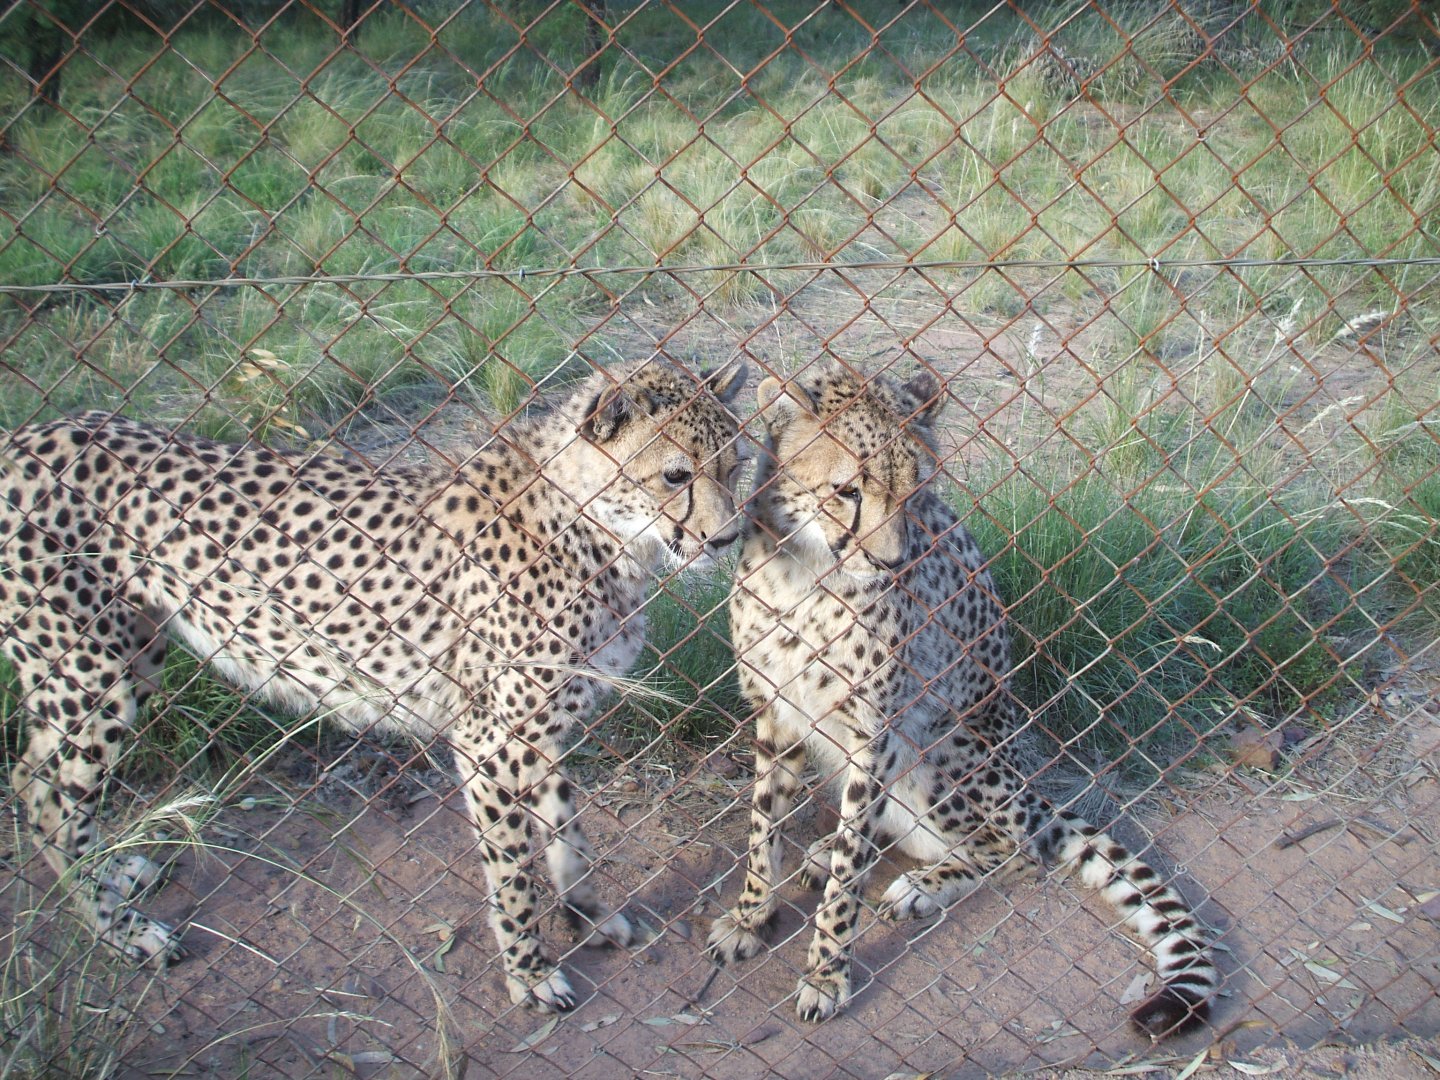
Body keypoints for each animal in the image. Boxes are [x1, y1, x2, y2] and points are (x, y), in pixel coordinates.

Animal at [0, 355, 747, 1012]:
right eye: (675, 474)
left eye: (735, 466)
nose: (728, 537)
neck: (594, 528)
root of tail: (33, 432)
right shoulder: (489, 739)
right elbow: (512, 870)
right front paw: (530, 974)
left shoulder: (543, 727)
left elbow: (568, 832)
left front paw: (588, 916)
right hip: (89, 669)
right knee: (43, 791)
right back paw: (121, 930)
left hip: (133, 653)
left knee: (41, 780)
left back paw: (116, 875)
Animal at [707, 362, 1217, 1037]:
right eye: (848, 490)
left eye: (914, 492)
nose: (891, 560)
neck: (806, 572)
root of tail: (1033, 794)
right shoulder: (777, 713)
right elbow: (763, 827)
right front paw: (751, 916)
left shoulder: (877, 733)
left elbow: (849, 877)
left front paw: (826, 973)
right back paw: (824, 853)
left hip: (944, 747)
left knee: (1018, 851)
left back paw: (922, 886)